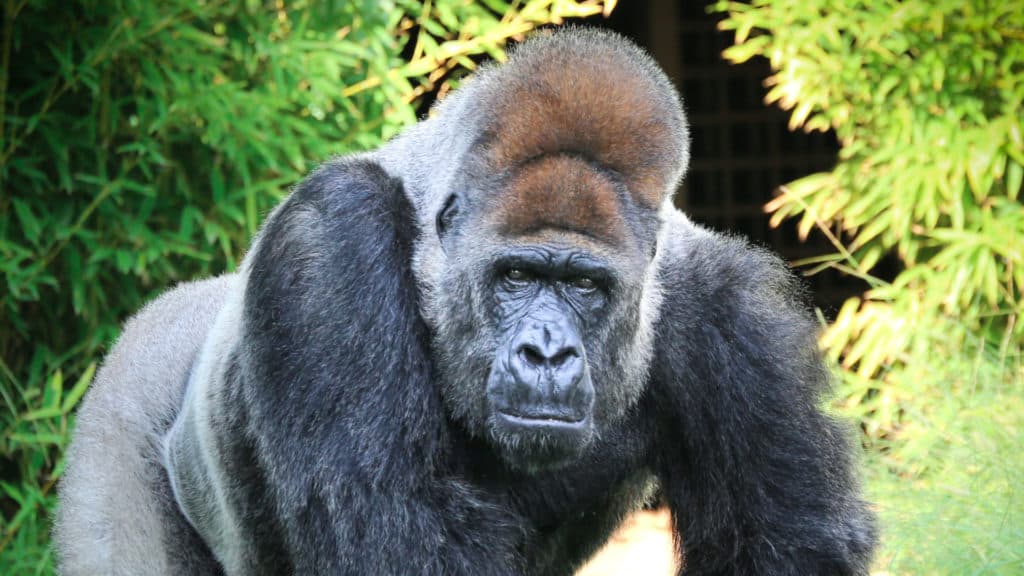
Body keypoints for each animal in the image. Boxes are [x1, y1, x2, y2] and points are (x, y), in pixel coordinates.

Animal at [54, 27, 876, 575]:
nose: (546, 351)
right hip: (118, 412)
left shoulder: (740, 316)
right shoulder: (329, 241)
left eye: (585, 286)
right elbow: (398, 527)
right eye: (514, 277)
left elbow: (783, 543)